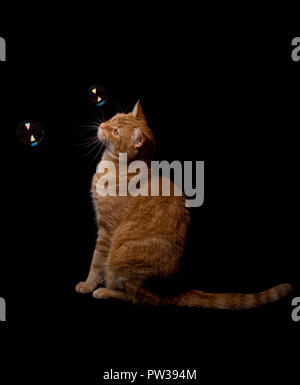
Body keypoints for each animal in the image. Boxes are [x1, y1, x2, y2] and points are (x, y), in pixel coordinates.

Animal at [75, 100, 292, 308]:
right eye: (113, 118)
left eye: (116, 131)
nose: (102, 125)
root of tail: (169, 292)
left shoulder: (106, 230)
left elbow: (96, 262)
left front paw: (87, 285)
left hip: (119, 262)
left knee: (139, 297)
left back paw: (106, 292)